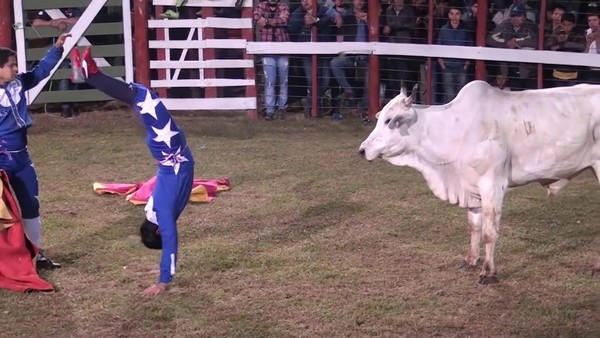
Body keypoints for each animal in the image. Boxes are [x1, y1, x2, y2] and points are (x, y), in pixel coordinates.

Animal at [358, 80, 600, 284]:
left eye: (389, 121)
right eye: (379, 118)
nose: (362, 150)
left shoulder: (493, 185)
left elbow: (489, 232)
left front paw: (488, 272)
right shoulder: (471, 190)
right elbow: (474, 227)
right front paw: (470, 260)